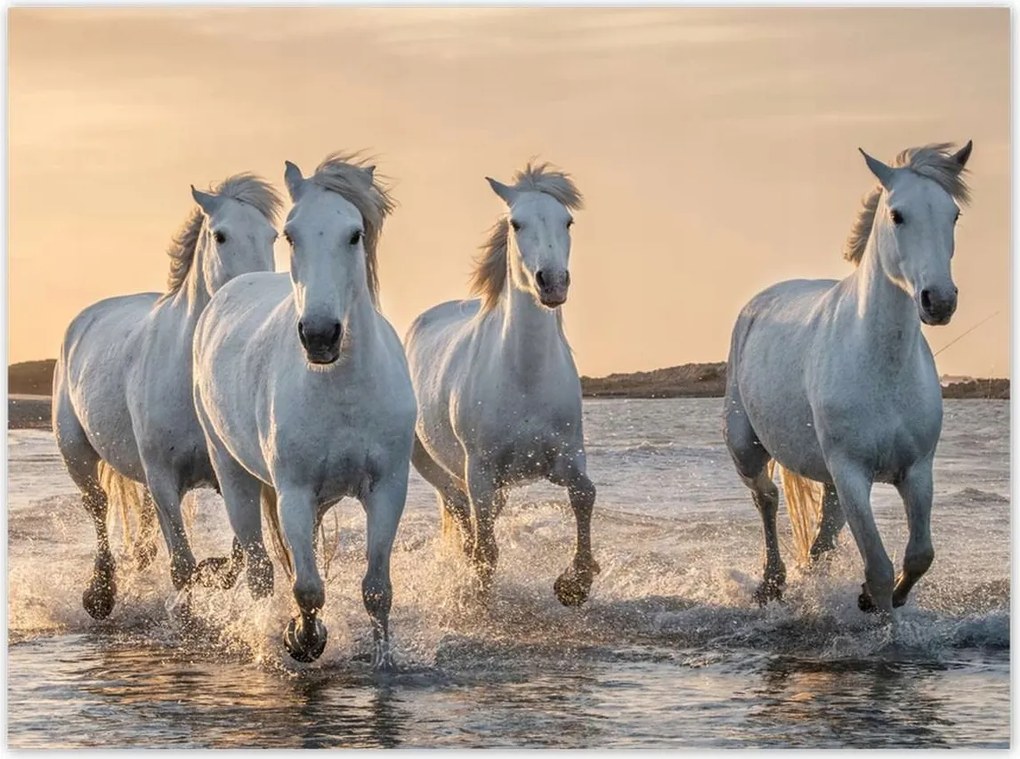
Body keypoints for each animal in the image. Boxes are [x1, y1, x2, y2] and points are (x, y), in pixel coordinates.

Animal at [52, 174, 282, 619]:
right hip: (77, 454)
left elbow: (236, 556)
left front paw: (212, 573)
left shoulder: (229, 474)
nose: (255, 295)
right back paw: (100, 595)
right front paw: (187, 615)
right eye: (220, 235)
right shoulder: (163, 478)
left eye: (272, 236)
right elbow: (182, 565)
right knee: (98, 507)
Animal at [192, 153, 415, 666]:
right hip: (233, 474)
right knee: (259, 568)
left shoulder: (387, 489)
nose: (319, 335)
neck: (343, 390)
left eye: (354, 234)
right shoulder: (292, 492)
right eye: (290, 235)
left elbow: (377, 589)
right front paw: (303, 639)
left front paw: (384, 662)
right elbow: (308, 587)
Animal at [405, 162, 599, 606]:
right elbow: (485, 550)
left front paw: (575, 583)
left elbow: (585, 494)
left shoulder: (566, 457)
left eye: (567, 220)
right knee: (462, 514)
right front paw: (480, 598)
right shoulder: (480, 470)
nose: (552, 282)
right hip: (435, 466)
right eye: (516, 223)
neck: (525, 378)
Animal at [723, 141, 973, 615]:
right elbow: (877, 567)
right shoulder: (851, 473)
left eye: (953, 215)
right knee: (767, 499)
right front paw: (880, 613)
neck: (881, 367)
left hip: (830, 480)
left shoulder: (917, 471)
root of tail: (759, 302)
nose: (939, 301)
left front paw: (877, 600)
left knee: (821, 537)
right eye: (897, 215)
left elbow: (919, 555)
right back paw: (771, 584)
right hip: (747, 449)